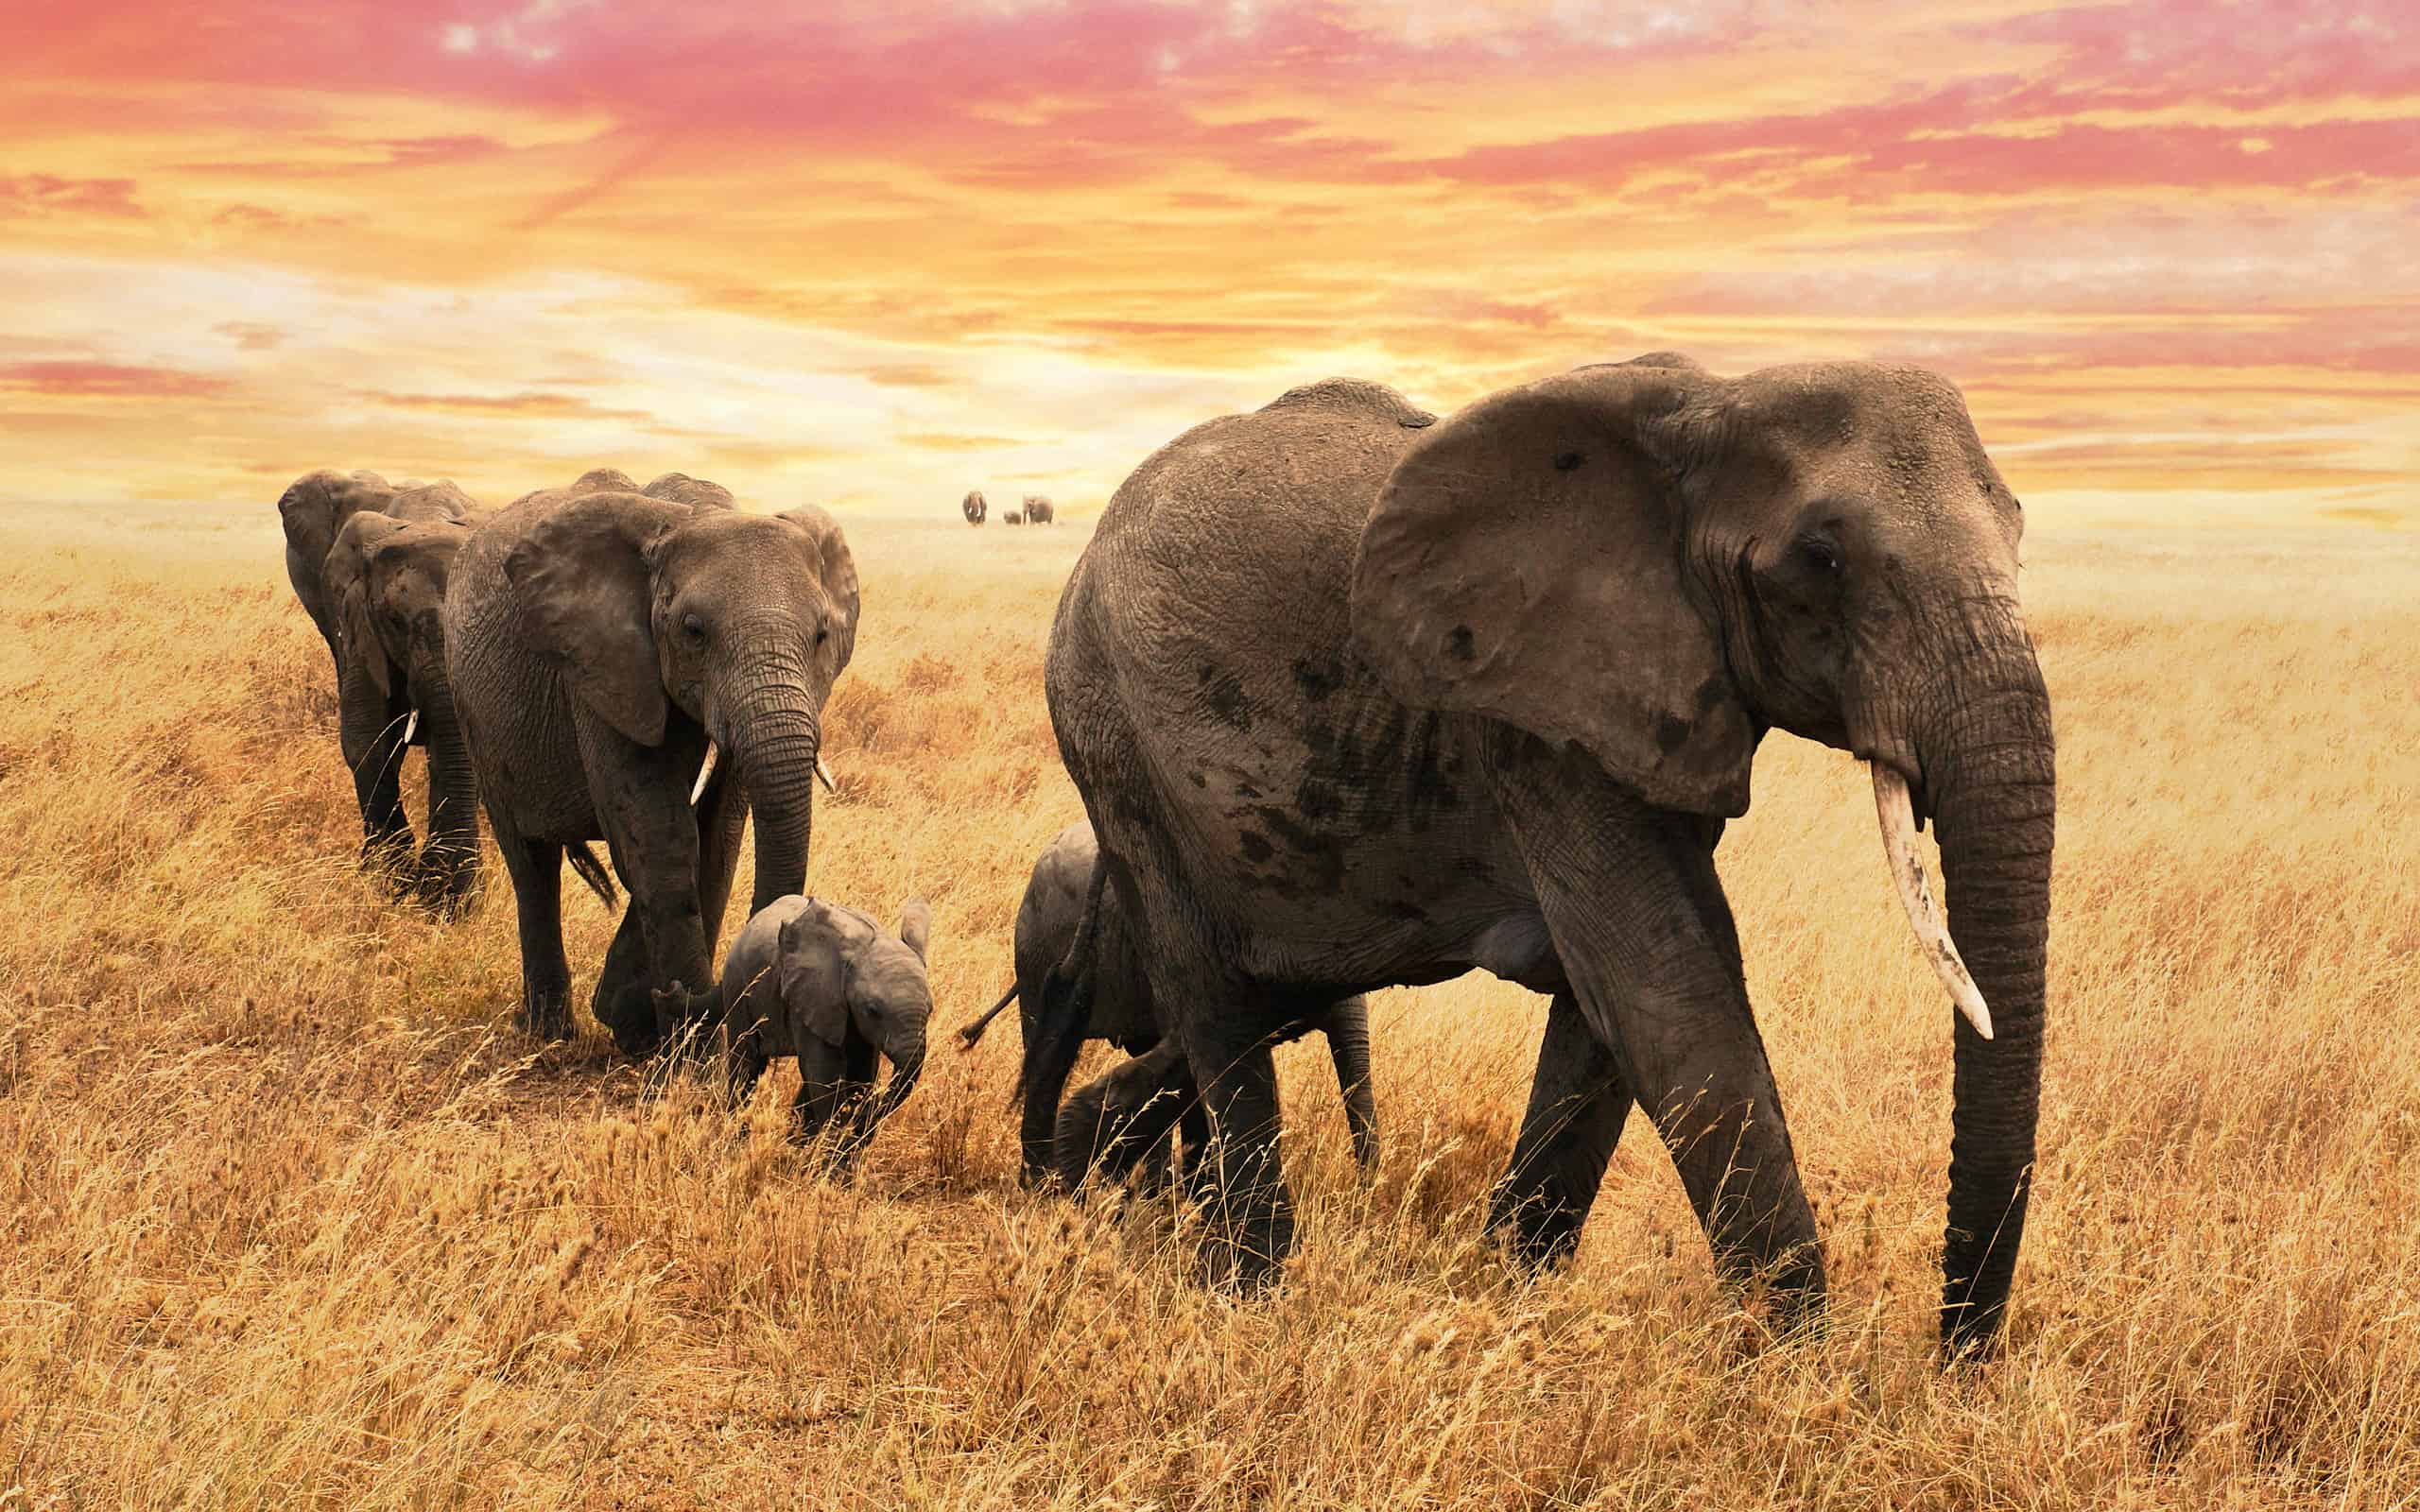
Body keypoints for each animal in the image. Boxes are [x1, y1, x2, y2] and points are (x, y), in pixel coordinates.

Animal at [443, 475, 860, 1051]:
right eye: (693, 631)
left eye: (821, 635)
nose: (679, 995)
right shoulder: (602, 665)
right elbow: (658, 834)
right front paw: (684, 1049)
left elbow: (718, 835)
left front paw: (641, 1024)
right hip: (473, 713)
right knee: (531, 862)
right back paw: (549, 1034)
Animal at [719, 895, 933, 1164]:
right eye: (873, 1010)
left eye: (931, 1010)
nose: (869, 1111)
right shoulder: (815, 995)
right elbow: (825, 1073)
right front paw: (835, 1161)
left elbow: (860, 1073)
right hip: (737, 987)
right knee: (747, 1064)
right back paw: (737, 1144)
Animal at [1039, 356, 2055, 1357]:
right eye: (1822, 559)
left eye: (2020, 532)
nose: (1956, 1361)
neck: (1715, 399)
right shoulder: (1535, 718)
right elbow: (1667, 991)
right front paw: (1801, 1368)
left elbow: (1613, 1006)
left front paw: (1508, 1297)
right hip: (1114, 746)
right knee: (1217, 1010)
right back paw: (1252, 1292)